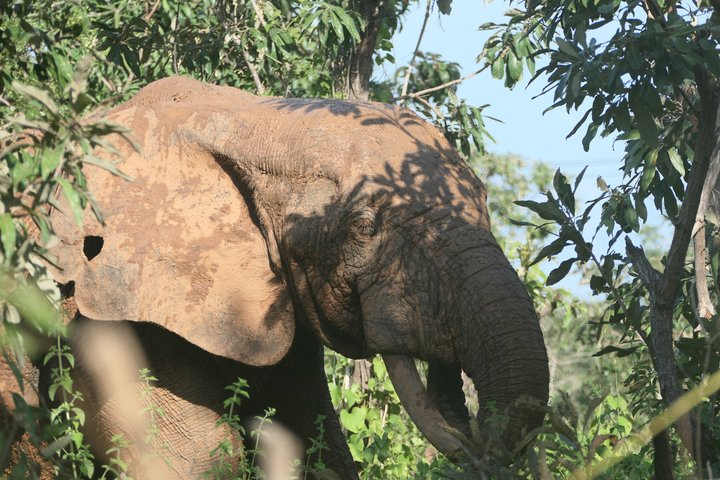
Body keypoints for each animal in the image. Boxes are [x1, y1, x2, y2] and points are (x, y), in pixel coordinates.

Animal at [37, 76, 550, 479]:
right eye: (363, 227)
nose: (476, 442)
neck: (250, 119)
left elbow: (316, 445)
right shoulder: (107, 310)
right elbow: (199, 459)